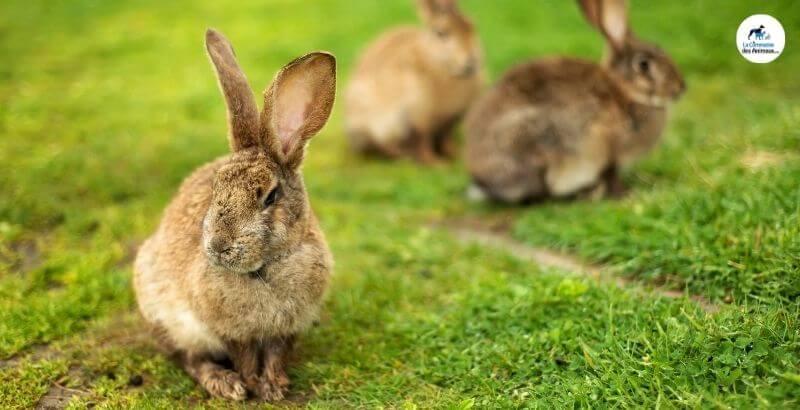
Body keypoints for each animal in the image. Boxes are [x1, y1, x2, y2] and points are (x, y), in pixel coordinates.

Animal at [133, 29, 336, 402]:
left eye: (270, 196)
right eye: (216, 188)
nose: (218, 247)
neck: (265, 268)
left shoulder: (286, 329)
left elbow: (275, 354)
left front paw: (275, 386)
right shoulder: (229, 331)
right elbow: (244, 358)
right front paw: (252, 385)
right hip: (164, 317)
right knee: (189, 358)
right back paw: (223, 383)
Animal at [345, 0, 484, 164]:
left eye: (472, 26)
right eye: (441, 33)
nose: (472, 61)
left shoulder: (449, 121)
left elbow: (446, 139)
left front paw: (457, 155)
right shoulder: (418, 117)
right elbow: (422, 141)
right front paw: (436, 163)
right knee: (383, 145)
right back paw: (402, 156)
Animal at [464, 0, 686, 203]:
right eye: (643, 64)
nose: (680, 88)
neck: (624, 91)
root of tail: (480, 178)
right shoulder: (604, 146)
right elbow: (610, 173)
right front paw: (624, 194)